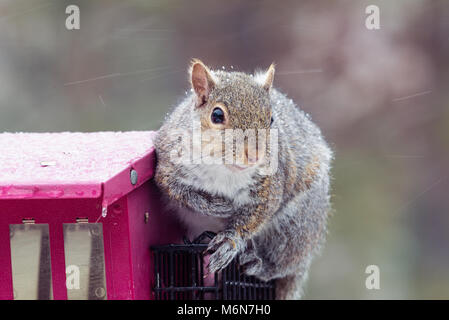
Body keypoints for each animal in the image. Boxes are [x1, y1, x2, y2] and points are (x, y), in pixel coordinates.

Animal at [154, 58, 332, 298]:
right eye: (217, 115)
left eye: (271, 119)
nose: (255, 155)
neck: (223, 170)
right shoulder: (167, 166)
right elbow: (179, 192)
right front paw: (217, 206)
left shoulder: (270, 187)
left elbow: (256, 215)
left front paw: (230, 241)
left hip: (297, 225)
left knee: (284, 261)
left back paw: (259, 263)